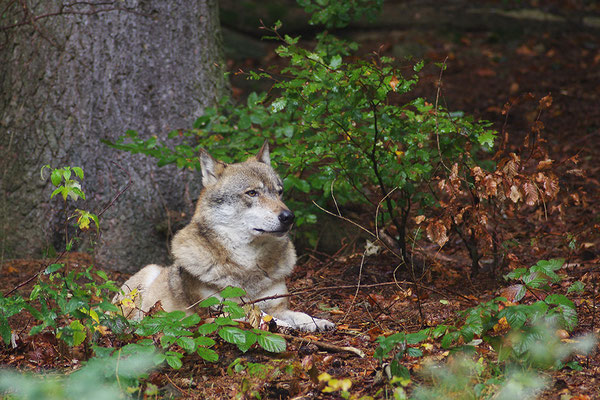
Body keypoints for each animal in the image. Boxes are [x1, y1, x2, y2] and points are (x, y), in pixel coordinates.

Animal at [115, 141, 336, 332]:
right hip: (147, 275)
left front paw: (317, 321)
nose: (289, 217)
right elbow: (263, 317)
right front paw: (285, 326)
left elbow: (298, 314)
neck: (248, 265)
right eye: (252, 193)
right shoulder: (216, 313)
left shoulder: (277, 305)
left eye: (279, 192)